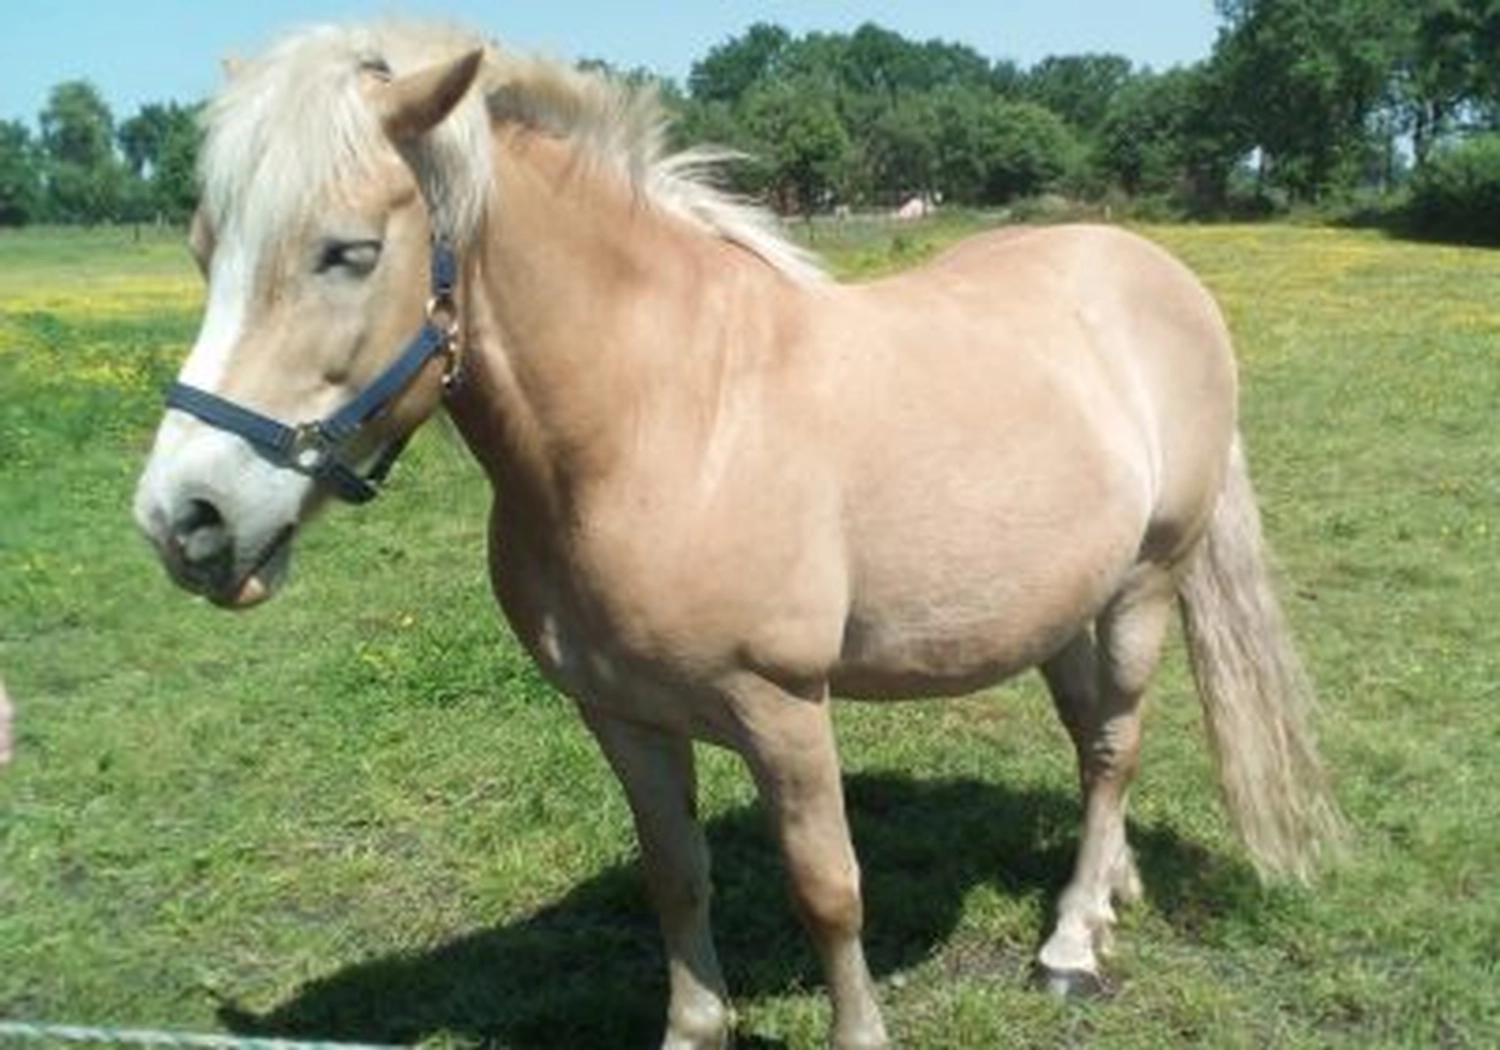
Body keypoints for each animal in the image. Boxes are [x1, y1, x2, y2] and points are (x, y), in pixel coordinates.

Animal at [132, 22, 1344, 1049]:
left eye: (343, 251)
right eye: (201, 247)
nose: (184, 518)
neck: (668, 420)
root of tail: (1157, 274)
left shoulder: (784, 709)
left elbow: (827, 889)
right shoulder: (619, 714)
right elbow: (677, 875)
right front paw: (695, 1024)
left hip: (1146, 581)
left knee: (1115, 743)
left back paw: (1072, 944)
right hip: (1059, 606)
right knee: (1094, 739)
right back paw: (1112, 891)